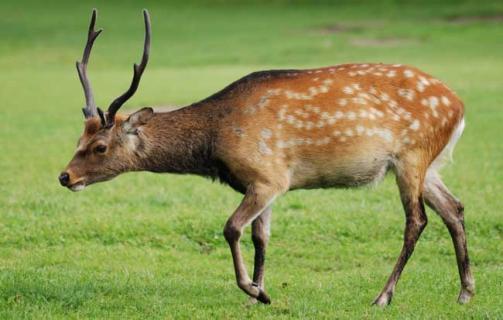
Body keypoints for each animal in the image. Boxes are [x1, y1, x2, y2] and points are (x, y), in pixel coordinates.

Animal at [60, 8, 476, 306]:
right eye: (78, 137)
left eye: (100, 147)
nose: (65, 176)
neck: (216, 142)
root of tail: (458, 106)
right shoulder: (267, 183)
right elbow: (261, 236)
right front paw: (260, 293)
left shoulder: (268, 175)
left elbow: (231, 228)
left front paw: (252, 290)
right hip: (427, 163)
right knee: (454, 208)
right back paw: (465, 292)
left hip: (412, 155)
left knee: (417, 220)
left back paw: (383, 296)